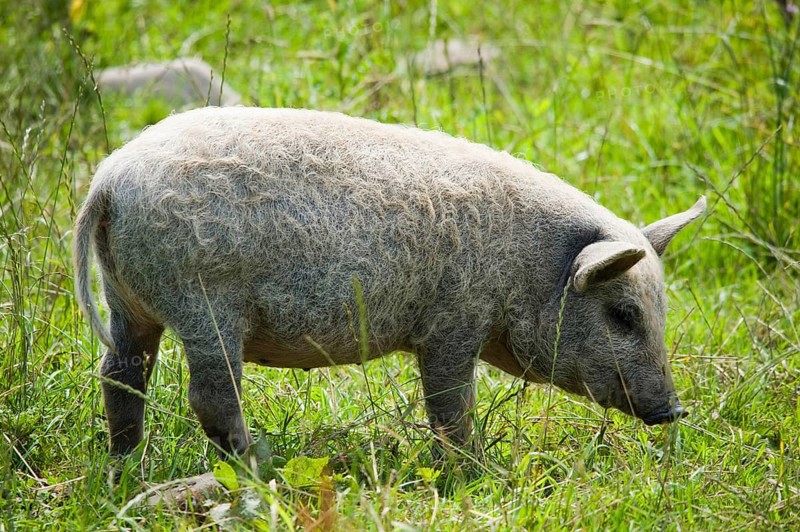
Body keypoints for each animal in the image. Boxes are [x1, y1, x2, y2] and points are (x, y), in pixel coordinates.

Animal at [73, 107, 704, 457]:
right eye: (623, 313)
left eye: (661, 310)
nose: (674, 411)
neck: (528, 267)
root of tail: (108, 180)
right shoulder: (453, 321)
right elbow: (451, 405)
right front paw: (474, 473)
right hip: (205, 306)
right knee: (209, 398)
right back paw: (261, 467)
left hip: (129, 305)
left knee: (119, 376)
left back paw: (126, 467)